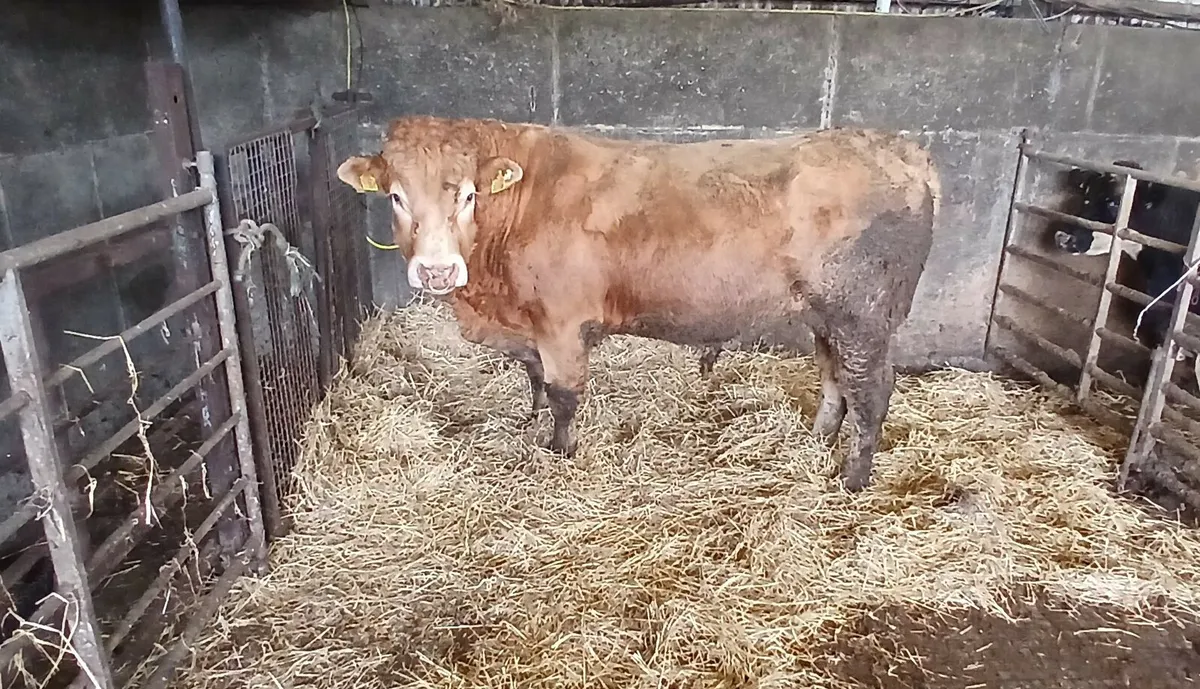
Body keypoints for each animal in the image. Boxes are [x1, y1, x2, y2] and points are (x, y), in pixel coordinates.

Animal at [339, 116, 940, 491]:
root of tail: (903, 150)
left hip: (863, 316)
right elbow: (534, 382)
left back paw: (852, 479)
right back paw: (814, 443)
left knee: (872, 391)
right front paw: (529, 425)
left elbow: (563, 395)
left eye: (468, 195)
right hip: (828, 317)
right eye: (396, 196)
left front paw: (560, 453)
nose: (437, 269)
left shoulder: (562, 322)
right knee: (835, 378)